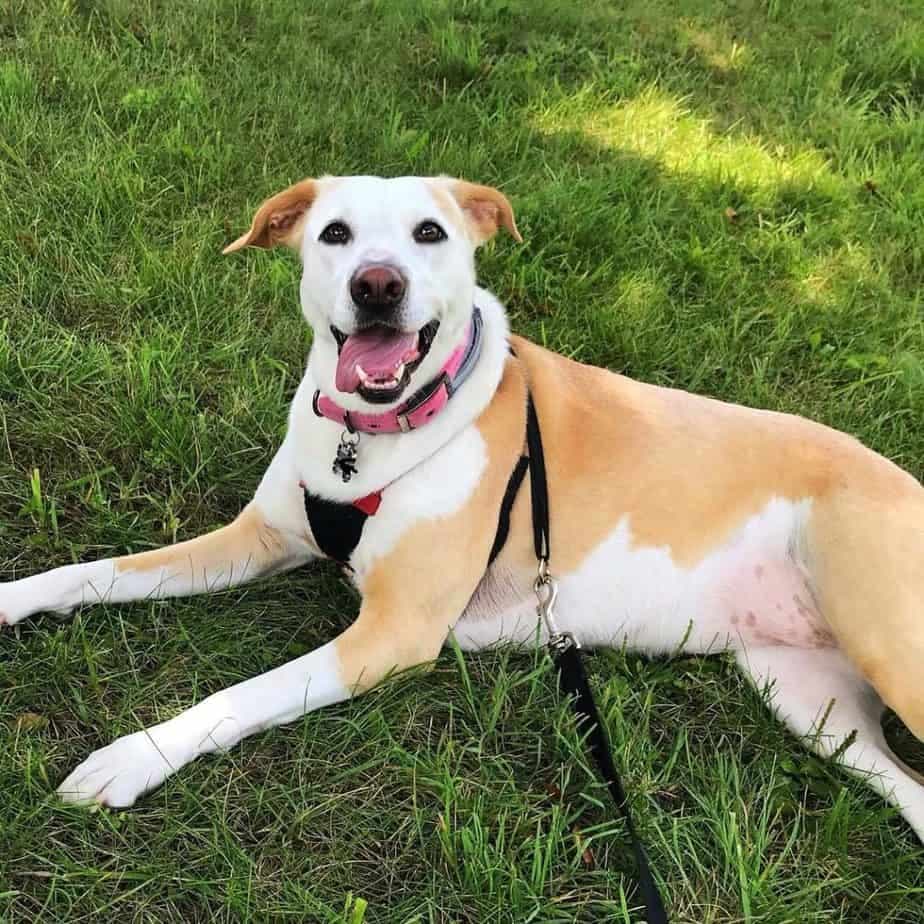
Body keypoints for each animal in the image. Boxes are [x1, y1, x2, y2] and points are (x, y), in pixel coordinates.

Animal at [5, 170, 924, 840]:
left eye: (430, 233)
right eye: (333, 234)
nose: (378, 285)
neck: (372, 436)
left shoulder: (394, 635)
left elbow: (242, 695)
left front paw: (131, 757)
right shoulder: (259, 538)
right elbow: (99, 571)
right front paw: (14, 599)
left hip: (890, 648)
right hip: (808, 698)